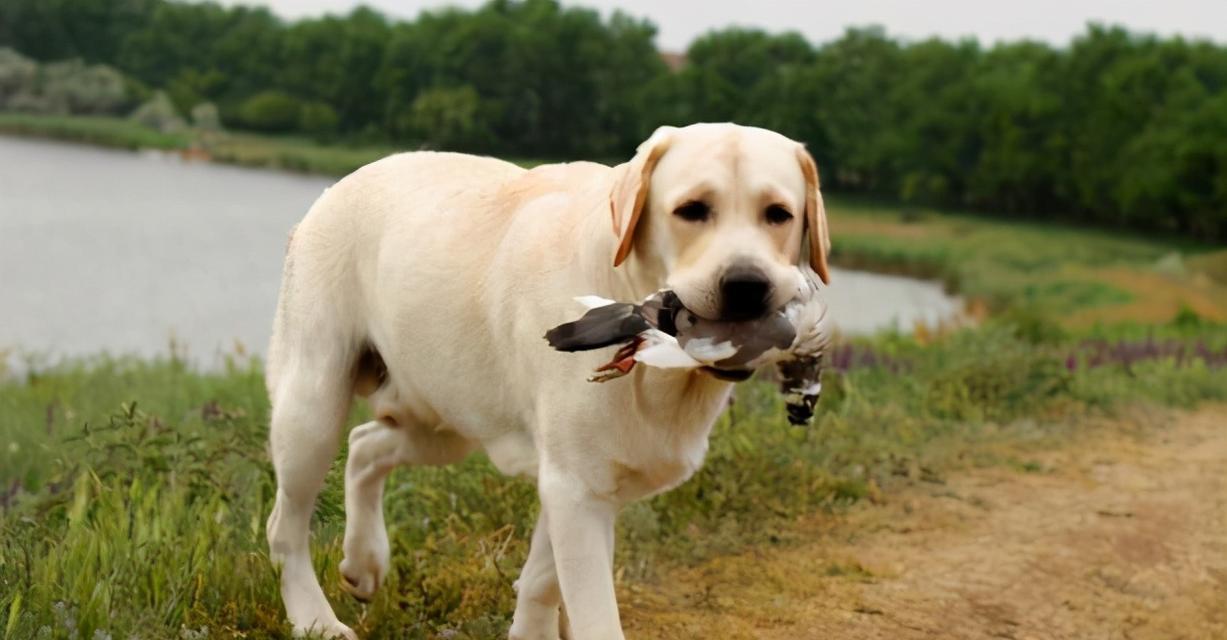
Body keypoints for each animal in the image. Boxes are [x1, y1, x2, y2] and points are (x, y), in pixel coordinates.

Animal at [263, 121, 829, 632]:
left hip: (445, 422)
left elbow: (541, 579)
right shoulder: (576, 486)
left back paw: (364, 563)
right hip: (312, 407)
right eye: (692, 210)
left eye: (778, 215)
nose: (746, 285)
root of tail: (341, 183)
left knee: (365, 445)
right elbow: (591, 611)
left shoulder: (576, 484)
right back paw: (316, 618)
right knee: (285, 526)